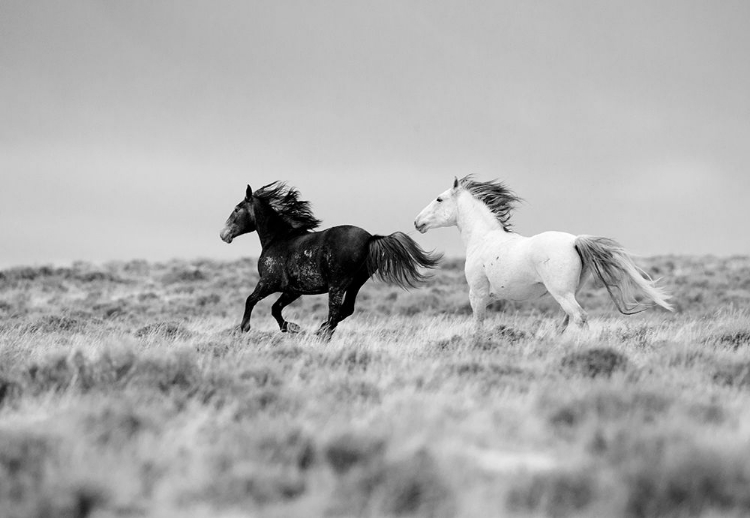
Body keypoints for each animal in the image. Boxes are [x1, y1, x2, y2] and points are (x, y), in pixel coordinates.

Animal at [219, 182, 440, 338]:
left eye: (237, 208)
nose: (223, 234)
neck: (278, 239)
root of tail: (370, 238)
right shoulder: (293, 290)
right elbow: (275, 309)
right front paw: (293, 328)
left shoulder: (268, 282)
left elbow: (251, 299)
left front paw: (245, 327)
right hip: (355, 284)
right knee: (345, 310)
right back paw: (321, 330)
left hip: (337, 285)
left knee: (335, 312)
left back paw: (322, 333)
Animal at [418, 177, 676, 332]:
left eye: (439, 199)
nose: (417, 222)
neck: (483, 239)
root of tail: (574, 241)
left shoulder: (478, 294)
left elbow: (478, 324)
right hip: (570, 292)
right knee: (567, 320)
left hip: (561, 293)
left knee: (579, 317)